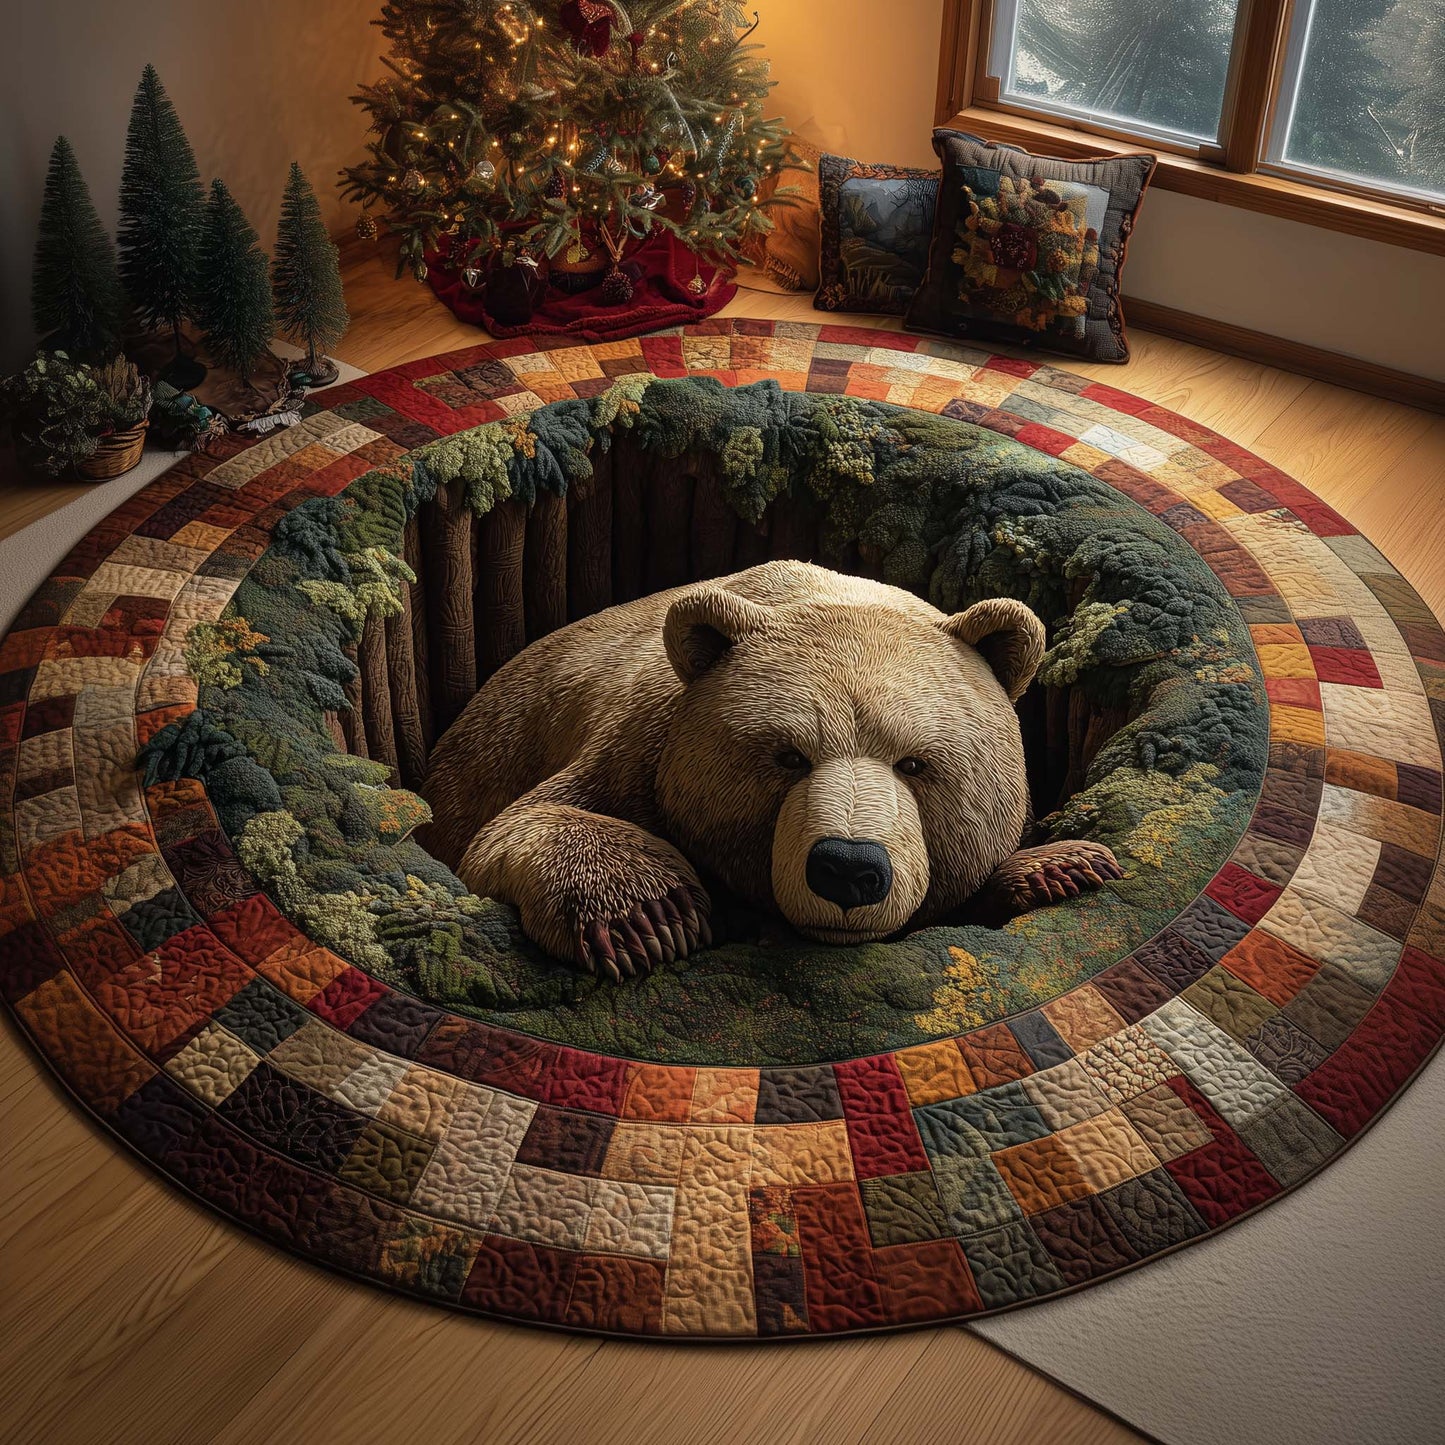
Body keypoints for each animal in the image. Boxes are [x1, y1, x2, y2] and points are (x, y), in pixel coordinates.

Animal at [423, 561, 1121, 982]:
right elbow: (515, 828)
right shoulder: (635, 751)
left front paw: (1062, 867)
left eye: (916, 762)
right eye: (788, 756)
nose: (848, 869)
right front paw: (650, 915)